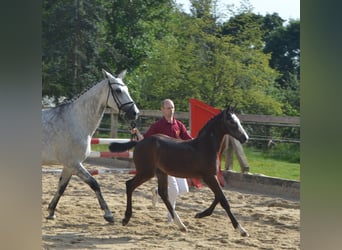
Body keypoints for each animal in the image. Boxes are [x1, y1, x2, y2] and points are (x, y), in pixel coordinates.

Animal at [42, 69, 138, 223]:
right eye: (118, 91)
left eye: (127, 89)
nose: (134, 113)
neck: (76, 121)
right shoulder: (74, 163)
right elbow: (94, 183)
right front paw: (108, 214)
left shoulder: (69, 166)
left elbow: (62, 187)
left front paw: (51, 211)